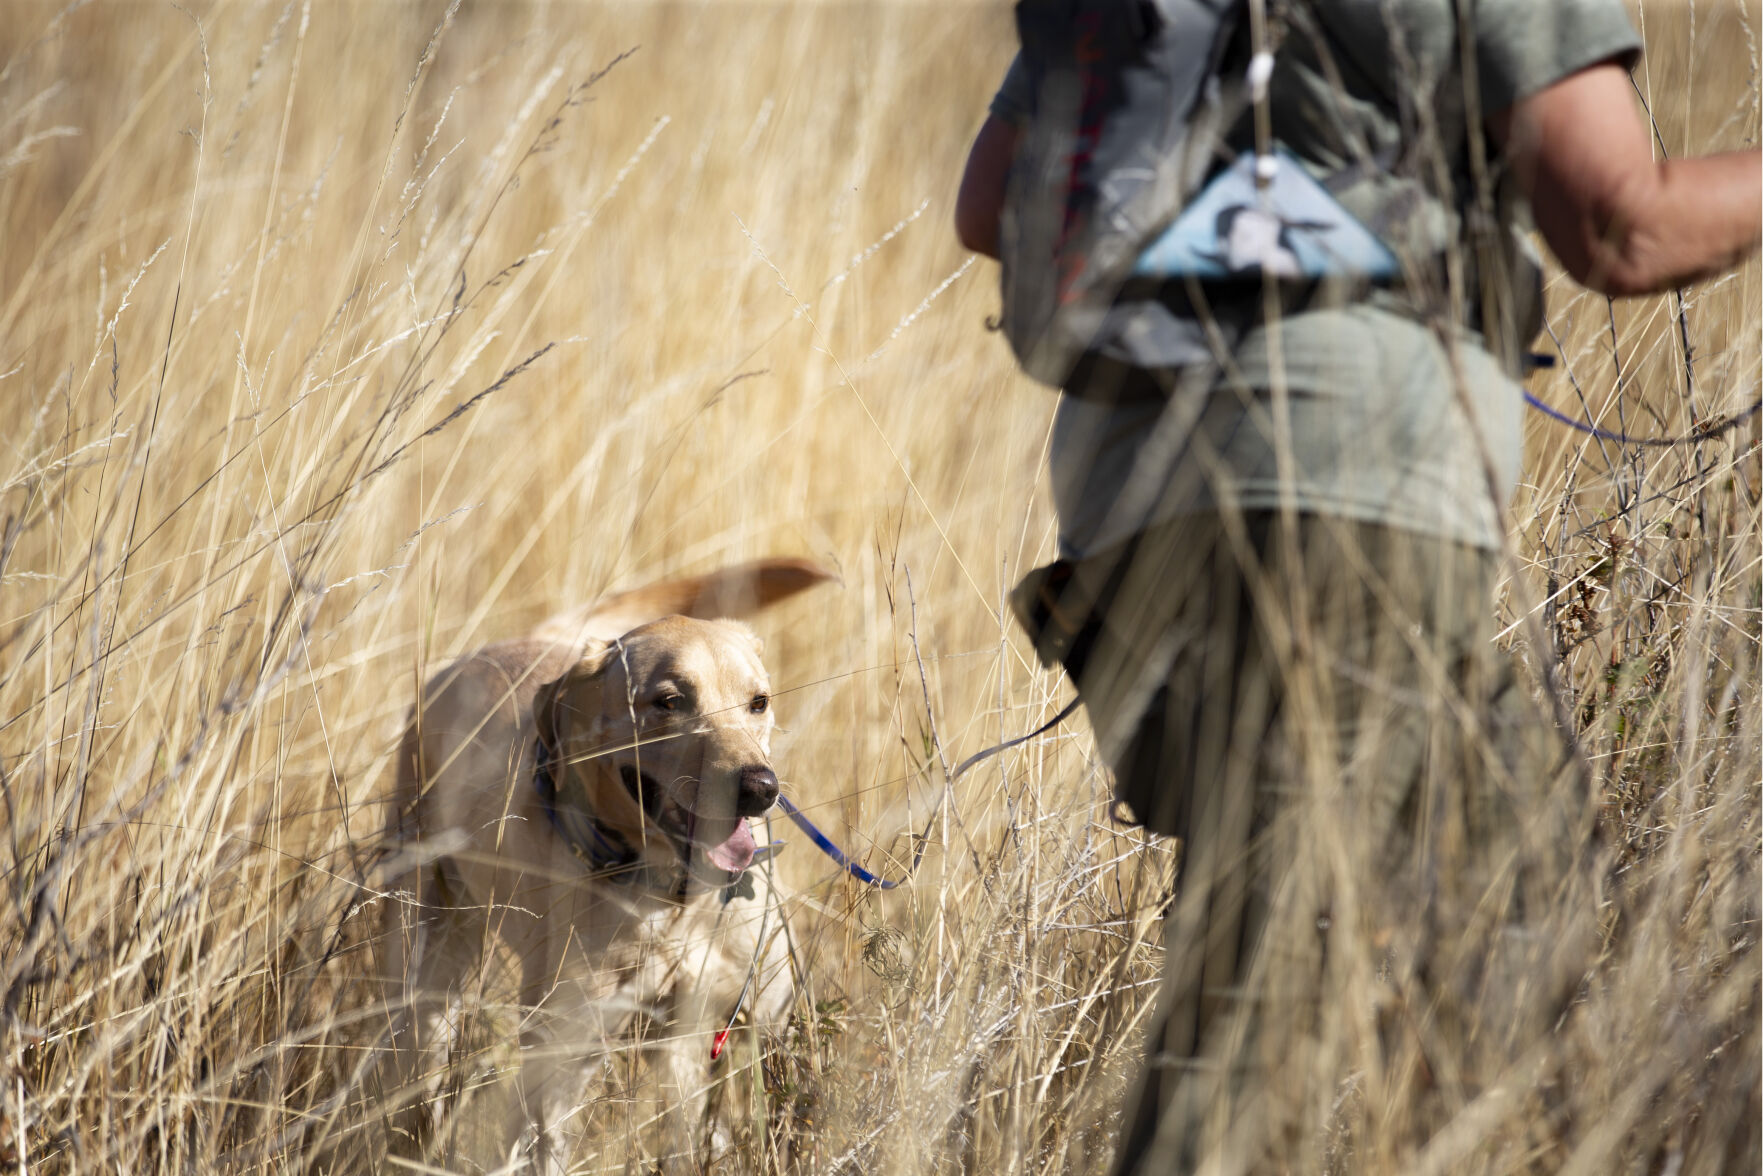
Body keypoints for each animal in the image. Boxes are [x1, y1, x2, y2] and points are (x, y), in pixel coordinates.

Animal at [382, 557, 835, 1170]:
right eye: (668, 702)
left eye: (758, 702)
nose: (759, 788)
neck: (674, 903)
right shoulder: (564, 1057)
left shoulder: (737, 1025)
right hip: (431, 960)